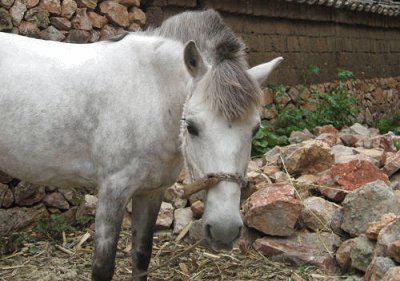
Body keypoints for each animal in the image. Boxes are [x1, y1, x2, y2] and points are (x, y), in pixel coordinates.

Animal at [0, 9, 282, 280]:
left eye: (255, 129)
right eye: (191, 126)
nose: (224, 230)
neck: (151, 94)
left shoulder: (151, 191)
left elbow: (141, 257)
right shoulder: (112, 192)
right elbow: (103, 268)